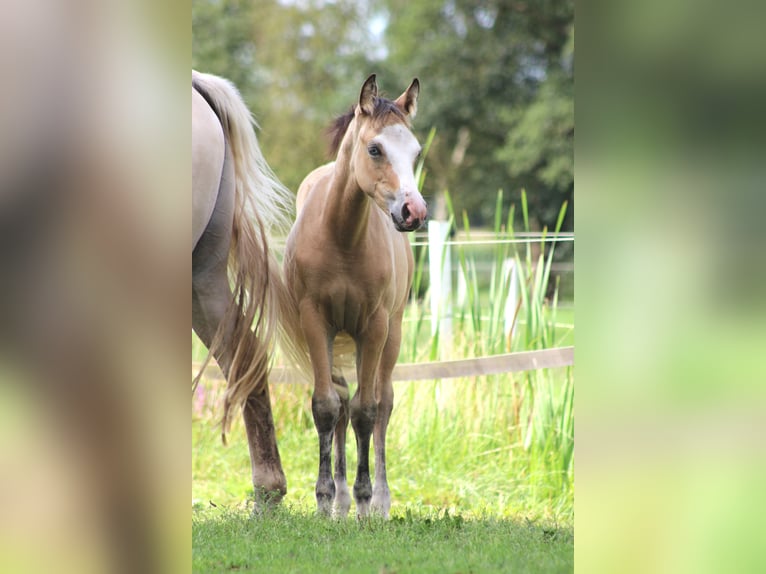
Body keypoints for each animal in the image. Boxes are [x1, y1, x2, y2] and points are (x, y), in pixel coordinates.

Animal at [284, 74, 428, 520]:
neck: (342, 238)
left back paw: (378, 501)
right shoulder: (315, 322)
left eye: (416, 152)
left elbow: (368, 410)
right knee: (344, 405)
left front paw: (366, 501)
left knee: (383, 403)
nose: (414, 212)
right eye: (375, 148)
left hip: (392, 335)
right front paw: (325, 498)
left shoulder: (375, 326)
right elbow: (327, 407)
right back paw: (342, 502)